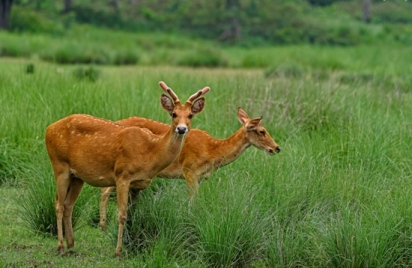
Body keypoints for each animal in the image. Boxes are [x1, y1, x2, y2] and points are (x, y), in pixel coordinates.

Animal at [45, 80, 209, 256]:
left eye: (190, 115)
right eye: (174, 114)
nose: (181, 129)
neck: (150, 153)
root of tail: (48, 129)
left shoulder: (138, 184)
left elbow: (132, 215)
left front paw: (130, 244)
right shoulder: (122, 175)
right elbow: (122, 215)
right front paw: (118, 251)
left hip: (77, 176)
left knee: (68, 205)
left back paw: (71, 244)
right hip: (59, 164)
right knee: (59, 204)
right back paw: (60, 246)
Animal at [98, 108, 282, 229]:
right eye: (262, 131)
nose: (277, 148)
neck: (212, 151)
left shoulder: (199, 177)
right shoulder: (189, 170)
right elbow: (192, 200)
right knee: (105, 191)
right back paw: (103, 225)